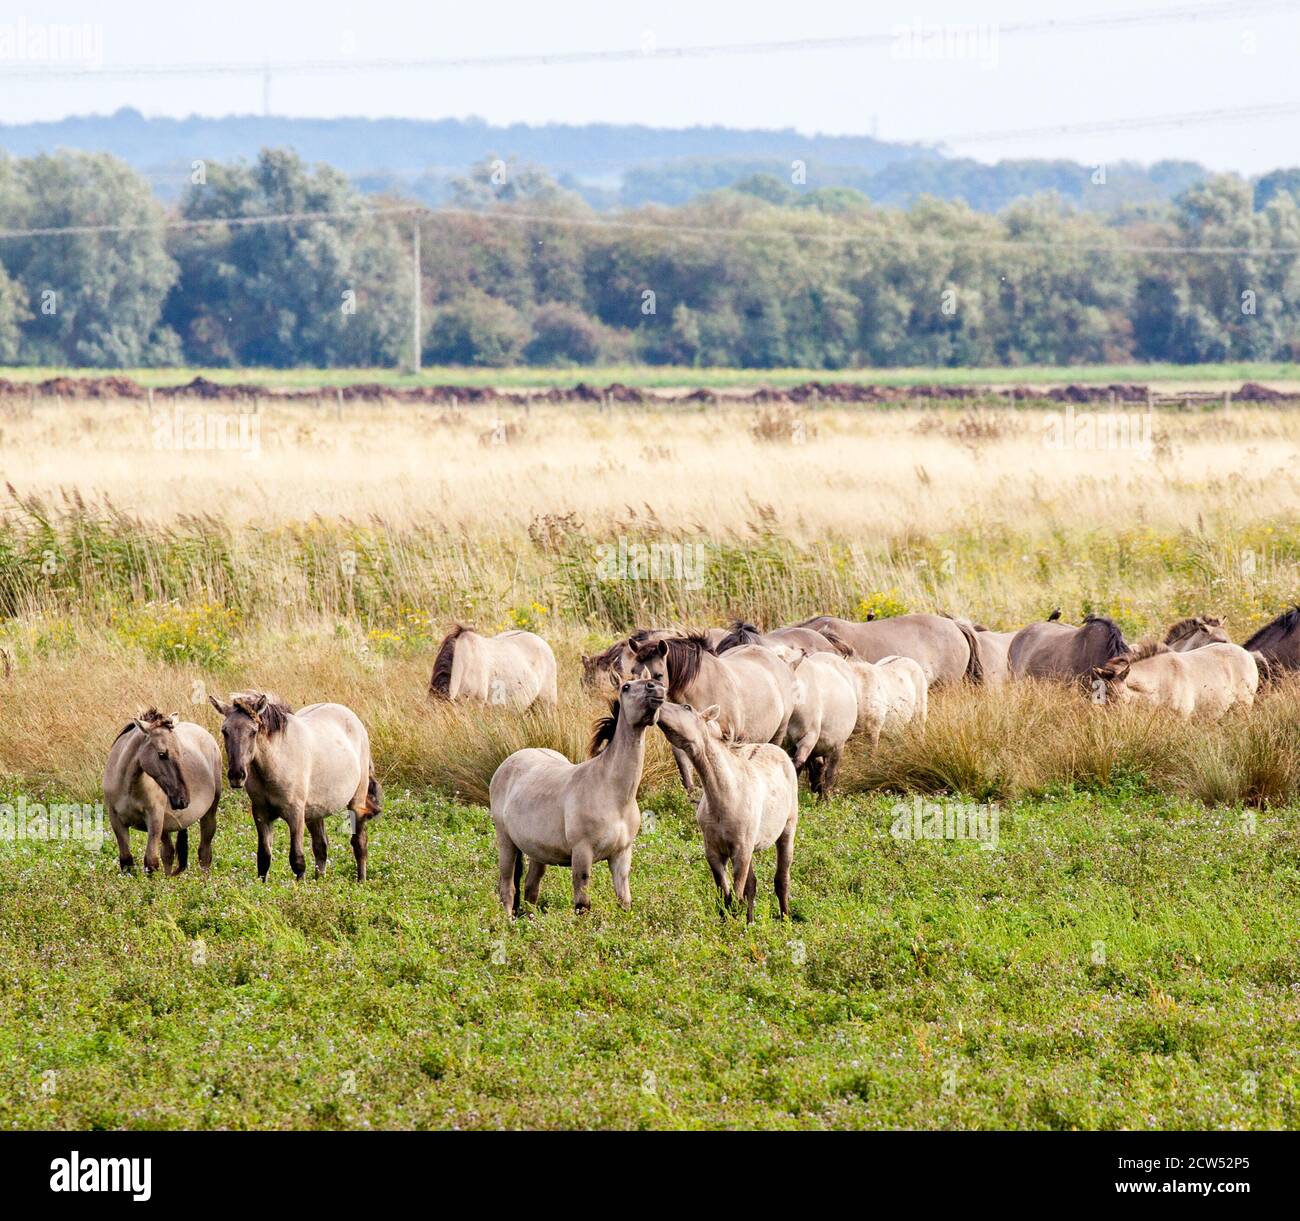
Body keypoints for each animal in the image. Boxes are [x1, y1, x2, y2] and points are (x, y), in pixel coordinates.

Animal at [103, 709, 222, 876]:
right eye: (162, 754)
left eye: (181, 752)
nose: (183, 799)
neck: (128, 787)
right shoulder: (116, 820)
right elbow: (127, 862)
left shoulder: (155, 819)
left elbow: (151, 862)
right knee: (168, 853)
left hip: (209, 813)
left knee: (204, 852)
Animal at [209, 692, 382, 881]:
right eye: (225, 731)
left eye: (253, 731)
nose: (236, 775)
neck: (276, 761)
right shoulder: (261, 813)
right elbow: (264, 858)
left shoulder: (296, 813)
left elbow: (297, 859)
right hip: (315, 812)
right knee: (321, 846)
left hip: (356, 803)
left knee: (359, 842)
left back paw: (361, 880)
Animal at [489, 677, 664, 915]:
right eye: (626, 687)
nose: (656, 687)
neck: (612, 793)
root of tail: (507, 763)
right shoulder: (582, 853)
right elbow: (582, 904)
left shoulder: (621, 855)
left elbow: (624, 901)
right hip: (506, 841)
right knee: (507, 887)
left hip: (537, 851)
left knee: (531, 887)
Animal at [655, 701, 798, 923]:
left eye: (687, 707)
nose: (656, 702)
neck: (726, 795)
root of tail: (779, 750)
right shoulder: (714, 853)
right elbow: (726, 897)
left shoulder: (741, 852)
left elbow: (736, 898)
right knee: (752, 885)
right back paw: (751, 922)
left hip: (786, 832)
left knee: (782, 879)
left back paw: (785, 919)